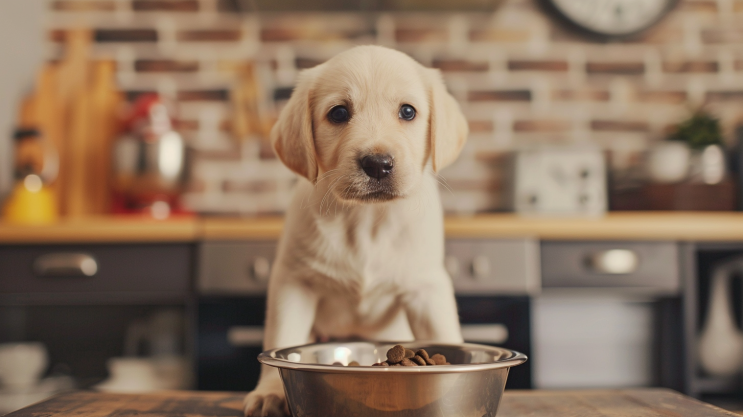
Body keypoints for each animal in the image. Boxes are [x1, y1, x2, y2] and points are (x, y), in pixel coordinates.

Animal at [244, 45, 468, 416]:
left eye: (408, 111)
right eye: (338, 113)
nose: (378, 164)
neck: (366, 220)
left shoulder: (427, 288)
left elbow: (445, 329)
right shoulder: (293, 281)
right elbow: (282, 333)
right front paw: (270, 392)